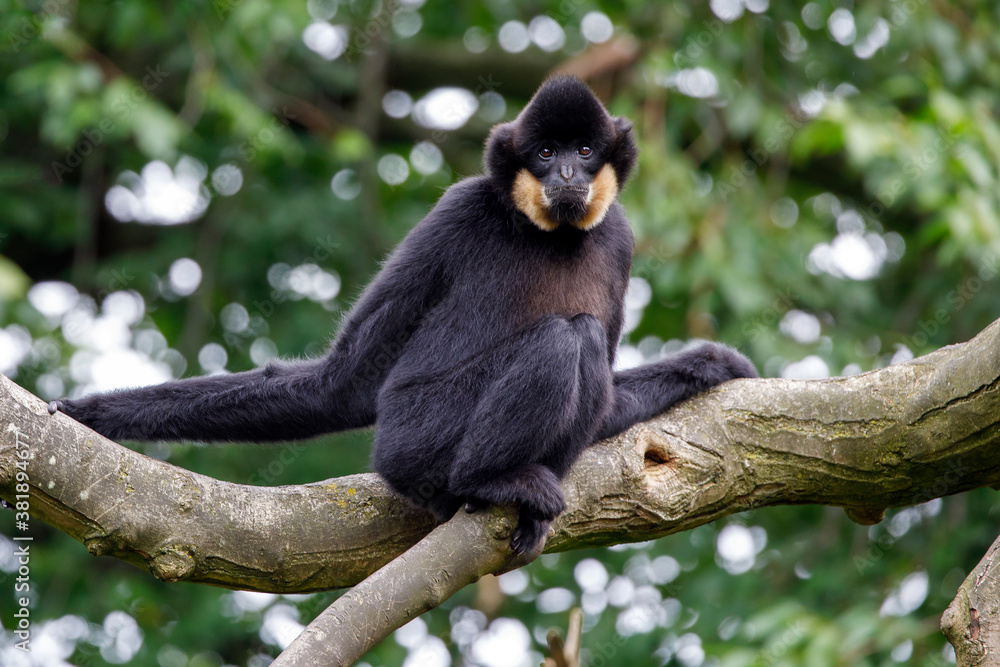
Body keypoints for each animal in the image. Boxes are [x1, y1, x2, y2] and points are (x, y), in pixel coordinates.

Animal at [50, 76, 757, 554]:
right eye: (545, 154)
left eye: (583, 151)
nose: (564, 175)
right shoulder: (459, 207)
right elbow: (345, 382)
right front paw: (93, 414)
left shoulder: (619, 238)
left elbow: (608, 394)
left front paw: (710, 364)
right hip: (414, 430)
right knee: (565, 338)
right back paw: (484, 480)